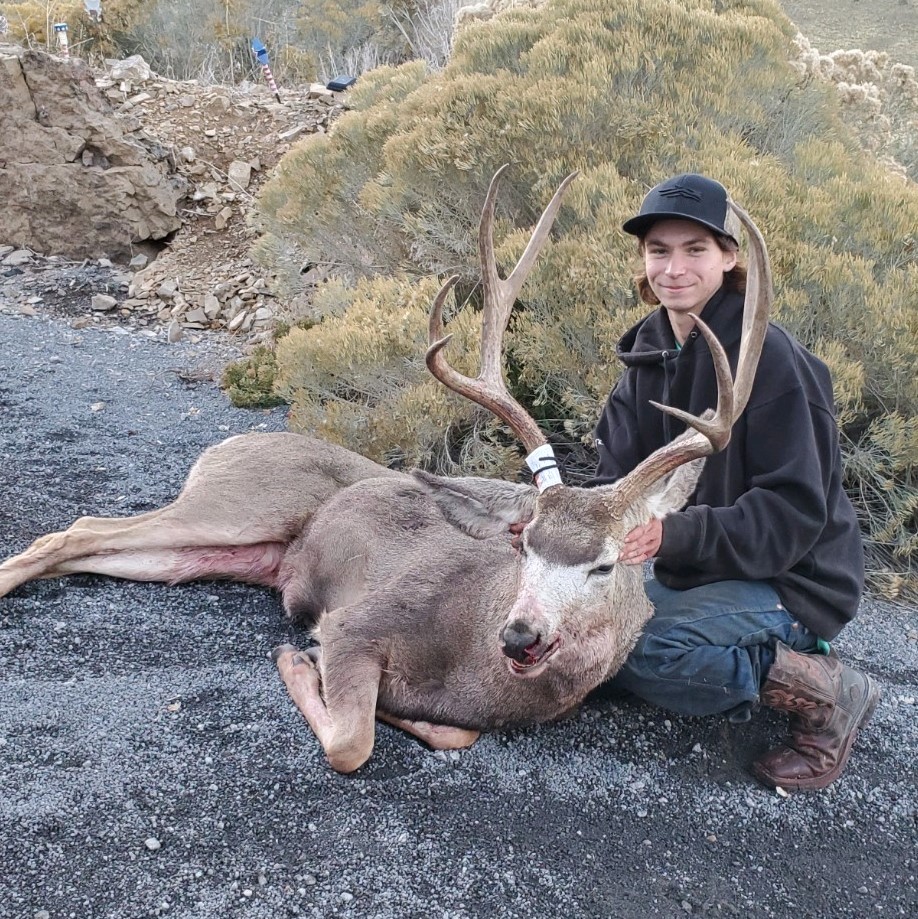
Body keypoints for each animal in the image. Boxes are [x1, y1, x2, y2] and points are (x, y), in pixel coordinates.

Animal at [0, 166, 772, 773]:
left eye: (604, 565)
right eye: (523, 544)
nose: (520, 635)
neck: (472, 657)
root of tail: (225, 444)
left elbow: (448, 734)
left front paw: (410, 714)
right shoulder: (358, 621)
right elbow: (352, 742)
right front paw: (297, 661)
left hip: (220, 551)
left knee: (100, 543)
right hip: (239, 503)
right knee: (78, 527)